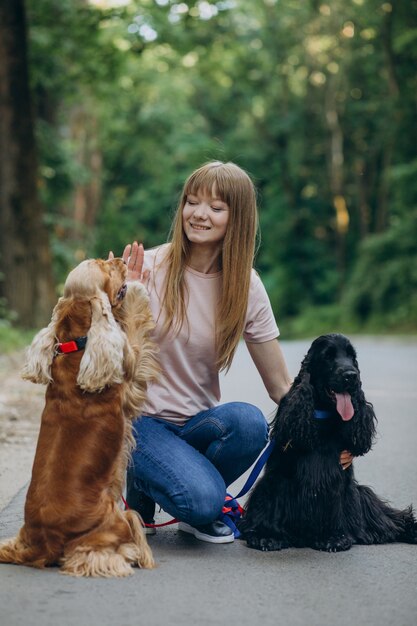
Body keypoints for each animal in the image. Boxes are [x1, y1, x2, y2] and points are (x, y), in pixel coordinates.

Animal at [0, 258, 158, 576]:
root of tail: (43, 543)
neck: (77, 341)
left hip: (20, 539)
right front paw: (136, 290)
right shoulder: (131, 373)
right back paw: (140, 554)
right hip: (114, 520)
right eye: (106, 267)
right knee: (108, 546)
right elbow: (135, 326)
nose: (120, 260)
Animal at [237, 334, 416, 548]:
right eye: (328, 356)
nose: (351, 375)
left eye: (352, 357)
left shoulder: (337, 480)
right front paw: (267, 535)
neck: (322, 416)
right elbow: (270, 504)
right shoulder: (277, 478)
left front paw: (333, 537)